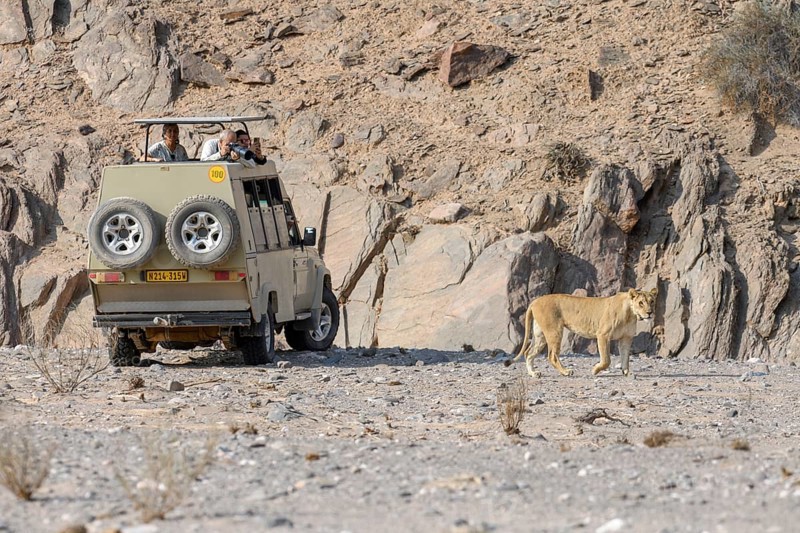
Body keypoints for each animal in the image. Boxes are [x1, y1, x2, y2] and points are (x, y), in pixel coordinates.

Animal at [507, 288, 657, 378]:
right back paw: (566, 371)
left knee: (529, 352)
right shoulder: (603, 335)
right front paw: (595, 370)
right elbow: (606, 360)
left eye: (652, 301)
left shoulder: (626, 338)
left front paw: (627, 373)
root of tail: (535, 301)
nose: (650, 312)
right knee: (552, 355)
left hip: (540, 334)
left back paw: (533, 373)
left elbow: (625, 357)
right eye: (641, 303)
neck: (631, 314)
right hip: (554, 331)